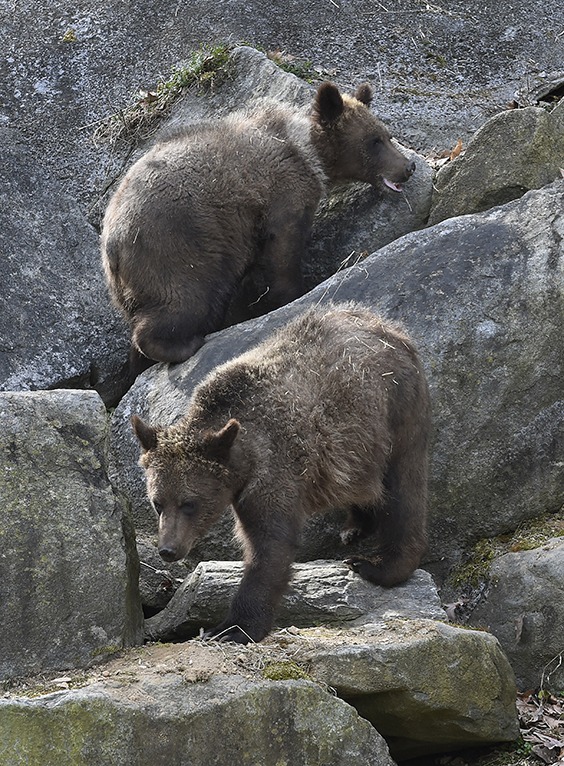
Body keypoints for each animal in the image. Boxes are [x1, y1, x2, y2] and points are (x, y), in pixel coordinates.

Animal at [100, 82, 414, 376]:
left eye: (386, 135)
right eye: (374, 141)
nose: (408, 166)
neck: (308, 152)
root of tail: (111, 242)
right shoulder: (281, 195)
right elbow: (283, 252)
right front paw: (292, 293)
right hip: (177, 245)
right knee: (185, 299)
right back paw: (183, 344)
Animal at [132, 304, 432, 644]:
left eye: (189, 503)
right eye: (157, 503)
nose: (168, 550)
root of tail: (388, 327)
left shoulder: (274, 471)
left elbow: (270, 545)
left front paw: (232, 627)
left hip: (394, 410)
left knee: (404, 487)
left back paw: (378, 565)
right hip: (359, 443)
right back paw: (355, 527)